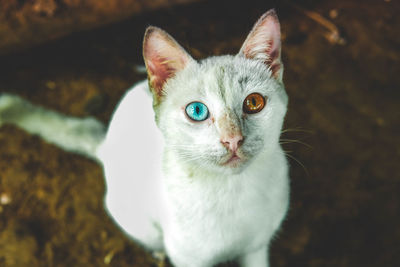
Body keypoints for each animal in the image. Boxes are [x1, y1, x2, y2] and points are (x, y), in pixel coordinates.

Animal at [0, 9, 290, 266]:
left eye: (253, 103)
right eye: (197, 111)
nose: (232, 139)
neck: (234, 191)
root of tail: (107, 144)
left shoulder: (257, 250)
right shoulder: (188, 260)